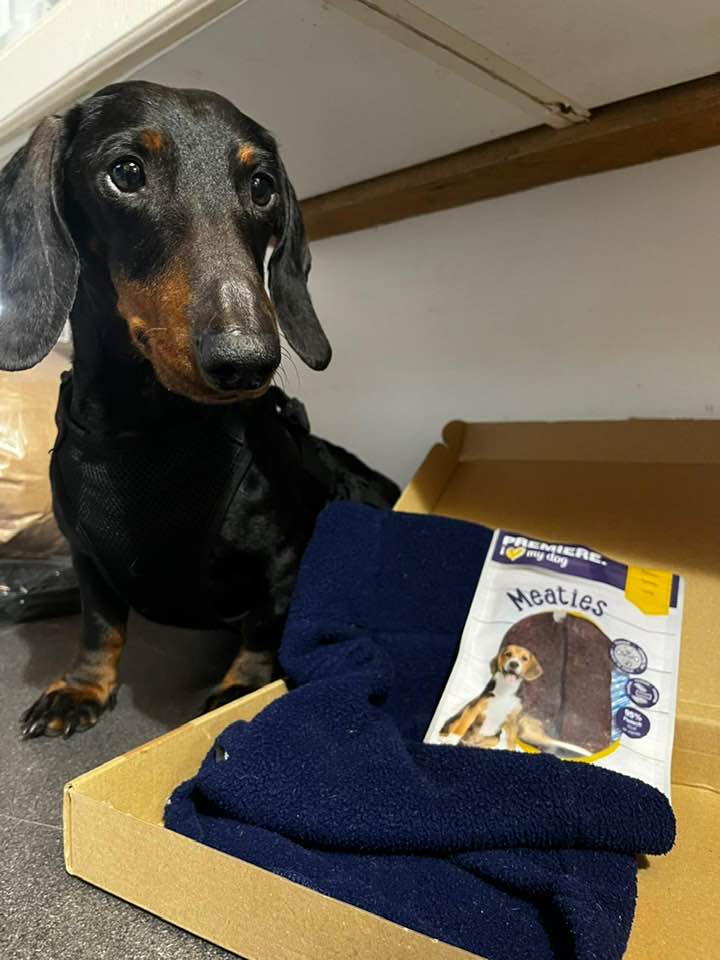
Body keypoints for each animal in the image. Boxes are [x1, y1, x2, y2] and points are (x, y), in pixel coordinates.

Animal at [0, 81, 400, 738]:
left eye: (262, 186)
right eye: (126, 172)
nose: (247, 362)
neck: (146, 430)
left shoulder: (284, 558)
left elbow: (266, 624)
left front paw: (243, 687)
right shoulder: (85, 557)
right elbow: (99, 626)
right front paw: (81, 688)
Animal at [440, 644, 591, 756]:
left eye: (524, 658)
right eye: (508, 654)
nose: (513, 664)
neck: (506, 691)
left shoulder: (513, 719)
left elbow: (512, 740)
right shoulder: (474, 709)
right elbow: (462, 727)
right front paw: (451, 740)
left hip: (495, 738)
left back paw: (471, 744)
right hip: (460, 718)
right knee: (454, 727)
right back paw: (446, 738)